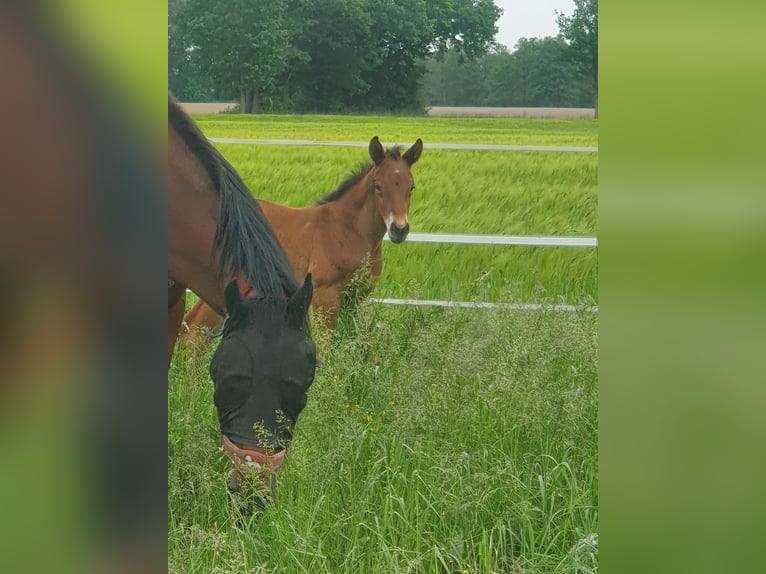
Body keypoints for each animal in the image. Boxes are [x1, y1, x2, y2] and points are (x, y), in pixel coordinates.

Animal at [178, 135, 424, 346]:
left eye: (411, 186)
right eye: (378, 186)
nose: (399, 229)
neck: (348, 229)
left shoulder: (355, 297)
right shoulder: (325, 295)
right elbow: (327, 346)